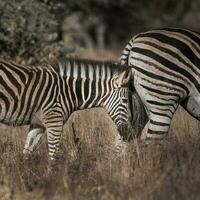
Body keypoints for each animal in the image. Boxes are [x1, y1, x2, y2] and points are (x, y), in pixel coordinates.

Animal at [0, 57, 133, 159]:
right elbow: (53, 155)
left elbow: (27, 151)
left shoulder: (38, 123)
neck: (70, 91)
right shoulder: (55, 121)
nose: (127, 133)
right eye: (126, 101)